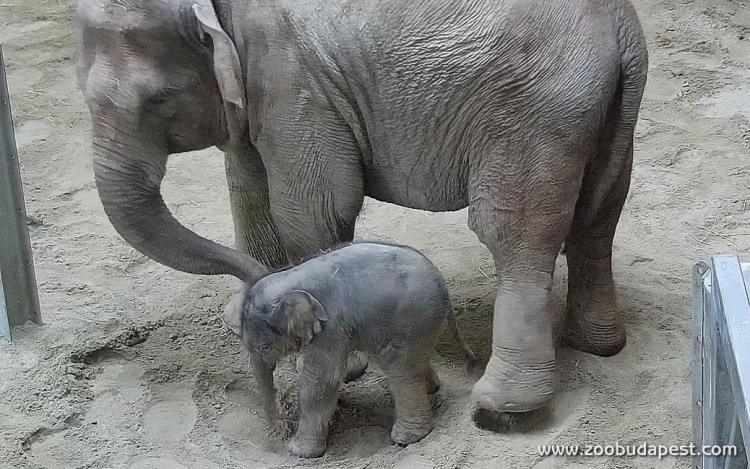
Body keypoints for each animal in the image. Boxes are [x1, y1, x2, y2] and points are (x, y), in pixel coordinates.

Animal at [78, 0, 652, 426]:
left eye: (157, 100)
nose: (255, 289)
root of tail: (620, 28)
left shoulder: (291, 82)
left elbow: (313, 206)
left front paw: (338, 363)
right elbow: (247, 183)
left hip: (533, 115)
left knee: (515, 236)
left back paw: (501, 409)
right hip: (608, 113)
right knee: (597, 219)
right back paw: (598, 346)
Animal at [241, 241, 476, 458]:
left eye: (264, 347)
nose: (278, 423)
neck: (289, 277)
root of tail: (441, 282)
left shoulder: (330, 325)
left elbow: (322, 379)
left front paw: (299, 451)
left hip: (411, 319)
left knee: (398, 368)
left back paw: (406, 438)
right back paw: (432, 389)